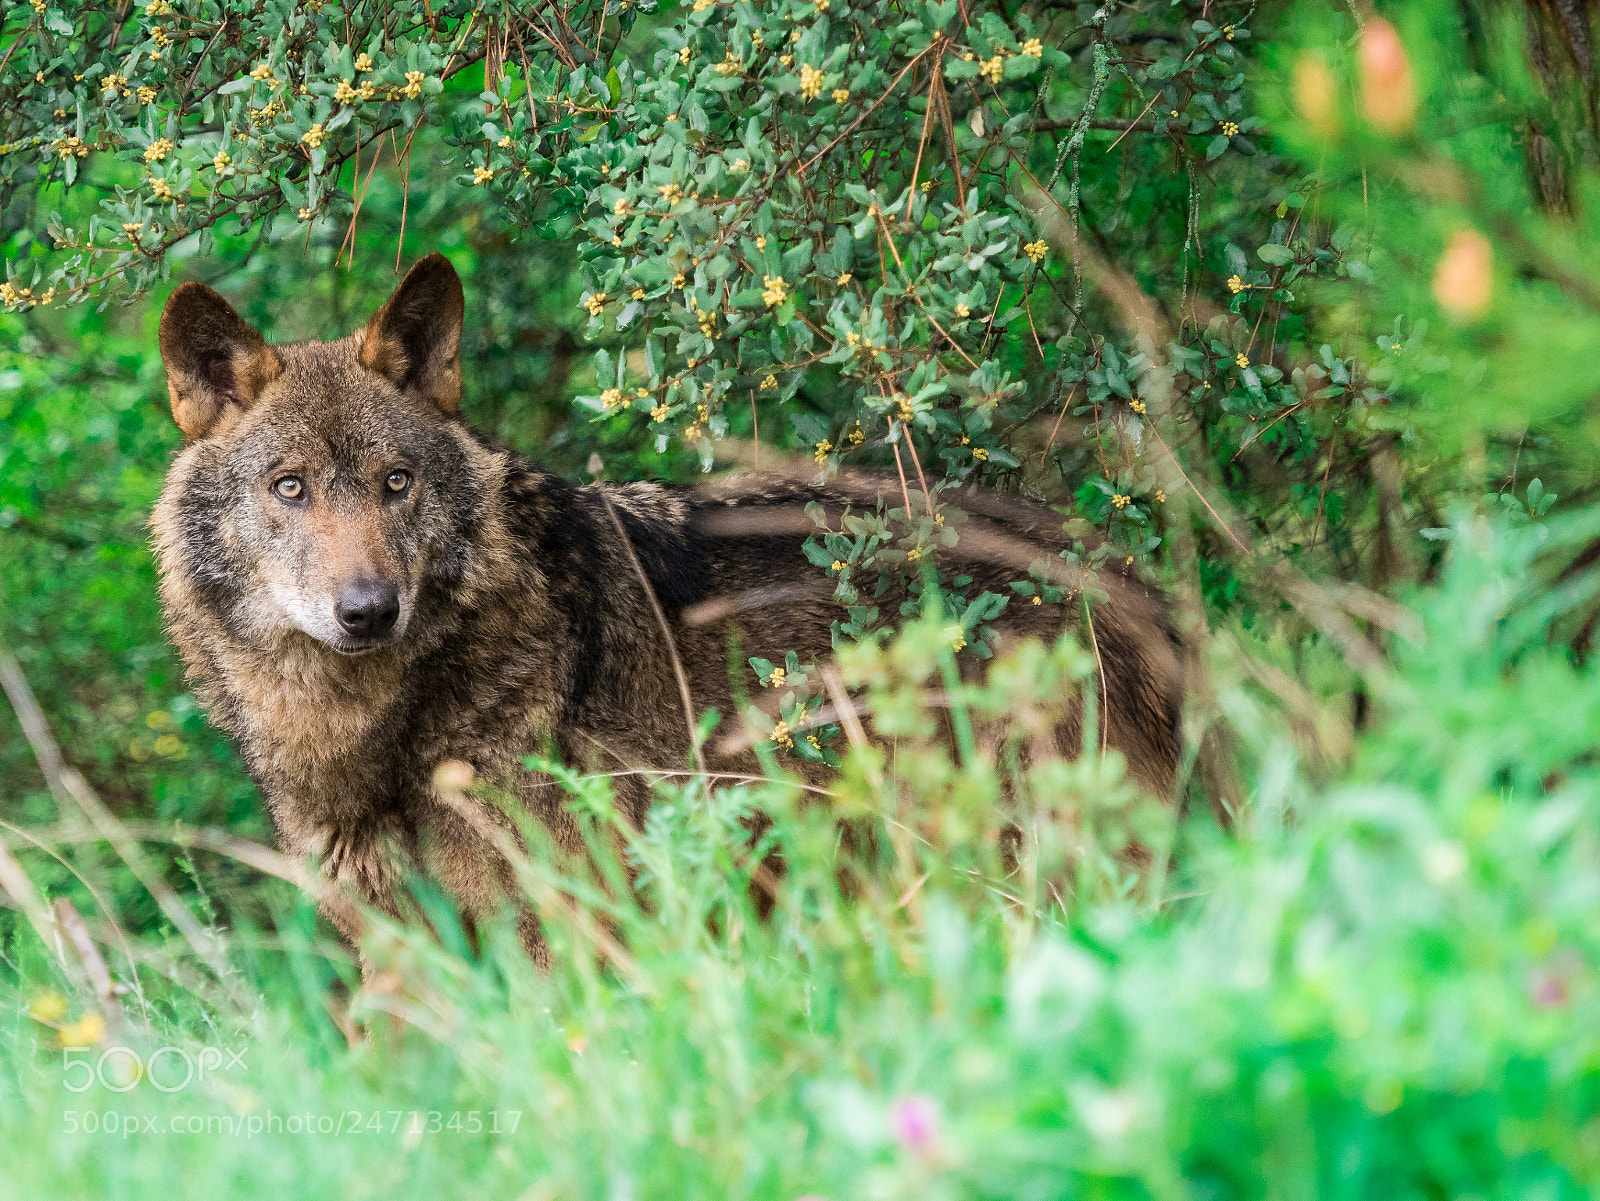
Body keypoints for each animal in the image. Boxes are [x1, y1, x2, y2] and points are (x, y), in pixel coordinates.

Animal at [152, 253, 1183, 968]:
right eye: (289, 488)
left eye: (396, 482)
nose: (368, 609)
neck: (373, 732)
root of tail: (1116, 566)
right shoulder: (399, 952)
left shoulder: (562, 926)